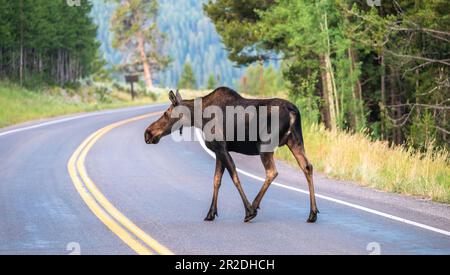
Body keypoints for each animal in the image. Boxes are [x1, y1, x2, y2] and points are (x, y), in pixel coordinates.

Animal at [145, 88, 320, 224]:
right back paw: (312, 213)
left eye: (166, 113)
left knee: (272, 172)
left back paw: (254, 206)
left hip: (265, 145)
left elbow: (234, 176)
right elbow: (216, 180)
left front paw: (248, 211)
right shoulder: (218, 151)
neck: (199, 119)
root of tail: (293, 111)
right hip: (295, 141)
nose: (148, 133)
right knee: (307, 167)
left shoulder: (221, 147)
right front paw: (211, 213)